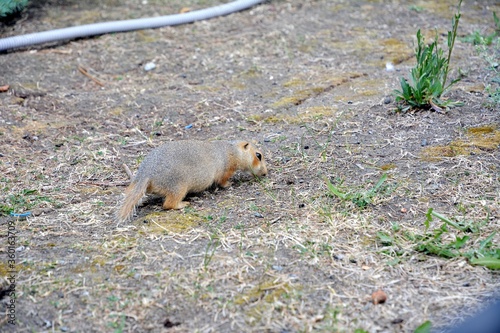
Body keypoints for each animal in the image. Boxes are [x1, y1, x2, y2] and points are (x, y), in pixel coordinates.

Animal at [117, 139, 268, 222]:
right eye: (258, 155)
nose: (265, 173)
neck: (232, 150)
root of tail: (145, 174)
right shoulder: (226, 169)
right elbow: (222, 180)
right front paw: (229, 184)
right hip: (178, 186)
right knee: (168, 204)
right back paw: (183, 204)